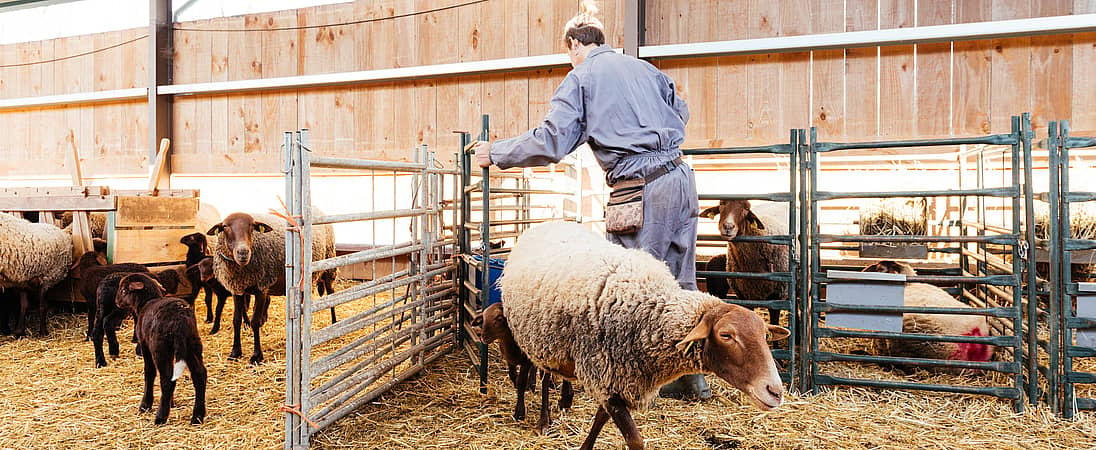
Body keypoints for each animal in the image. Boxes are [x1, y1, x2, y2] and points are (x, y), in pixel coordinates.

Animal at [115, 271, 207, 427]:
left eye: (123, 290)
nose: (116, 302)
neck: (146, 302)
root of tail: (180, 319)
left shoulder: (145, 345)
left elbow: (149, 372)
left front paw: (145, 405)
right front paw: (171, 403)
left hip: (160, 348)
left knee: (167, 379)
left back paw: (160, 417)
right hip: (192, 345)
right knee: (199, 374)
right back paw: (197, 417)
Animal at [471, 302, 574, 433]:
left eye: (499, 319)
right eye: (483, 319)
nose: (483, 337)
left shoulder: (525, 361)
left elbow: (521, 381)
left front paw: (519, 413)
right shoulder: (509, 358)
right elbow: (512, 375)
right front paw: (522, 385)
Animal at [497, 223, 789, 450]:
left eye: (764, 336)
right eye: (726, 335)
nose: (775, 391)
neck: (649, 314)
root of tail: (546, 224)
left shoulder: (618, 377)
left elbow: (600, 418)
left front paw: (585, 445)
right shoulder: (604, 373)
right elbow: (635, 440)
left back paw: (565, 400)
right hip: (534, 336)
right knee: (539, 377)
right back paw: (537, 417)